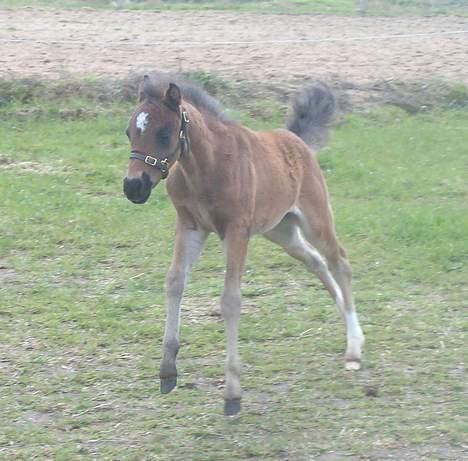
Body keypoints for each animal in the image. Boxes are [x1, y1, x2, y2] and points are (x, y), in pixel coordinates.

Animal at [122, 73, 364, 416]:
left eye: (164, 133)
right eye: (129, 131)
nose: (133, 186)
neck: (205, 167)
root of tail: (295, 140)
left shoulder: (236, 231)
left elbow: (231, 300)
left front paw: (232, 393)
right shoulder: (190, 226)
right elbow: (174, 283)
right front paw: (167, 370)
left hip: (315, 218)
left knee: (339, 262)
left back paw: (354, 349)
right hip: (282, 230)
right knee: (316, 262)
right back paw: (345, 319)